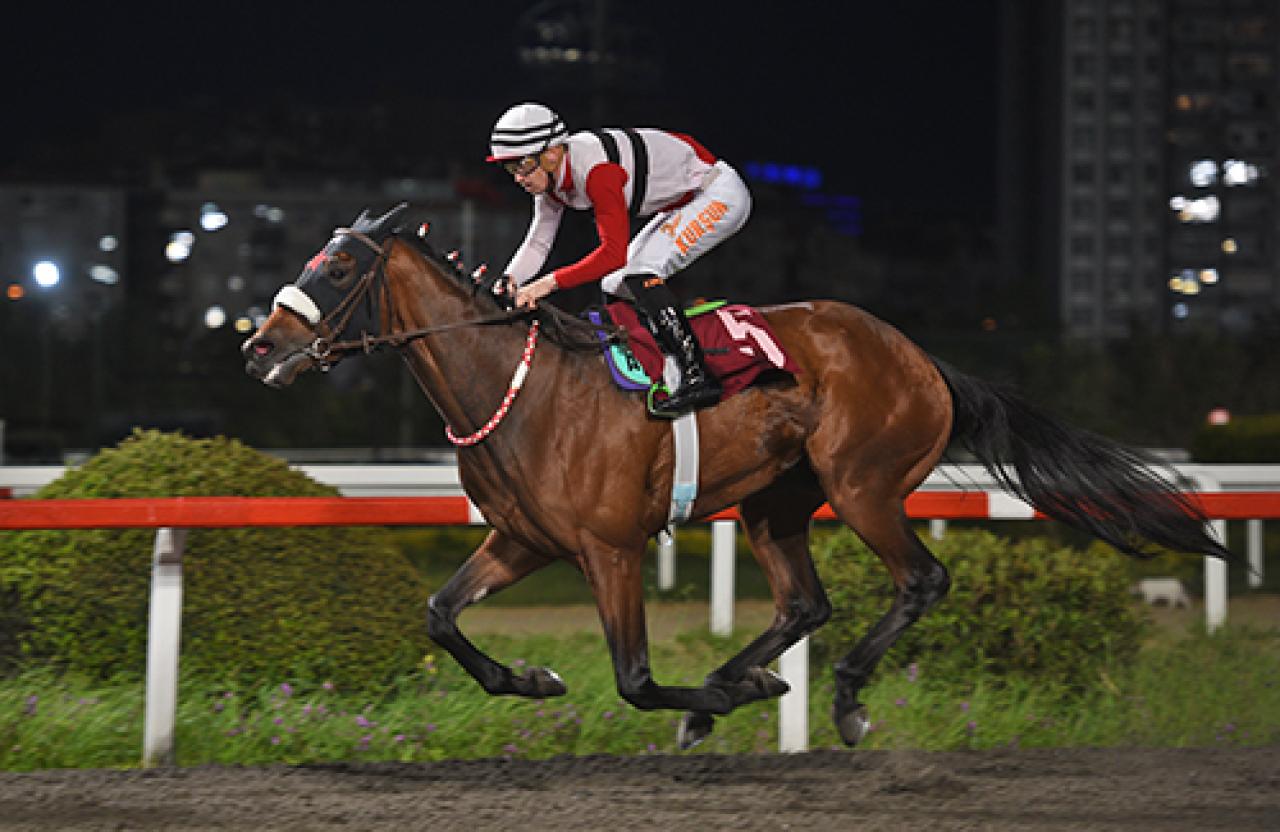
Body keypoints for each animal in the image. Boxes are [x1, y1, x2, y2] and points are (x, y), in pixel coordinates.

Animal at [240, 206, 1228, 747]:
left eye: (334, 265)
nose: (259, 347)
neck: (517, 388)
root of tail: (923, 359)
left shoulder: (610, 548)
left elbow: (635, 678)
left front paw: (713, 694)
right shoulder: (523, 539)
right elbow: (441, 616)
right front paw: (538, 681)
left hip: (863, 485)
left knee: (922, 579)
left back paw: (839, 698)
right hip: (773, 504)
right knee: (804, 603)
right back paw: (747, 684)